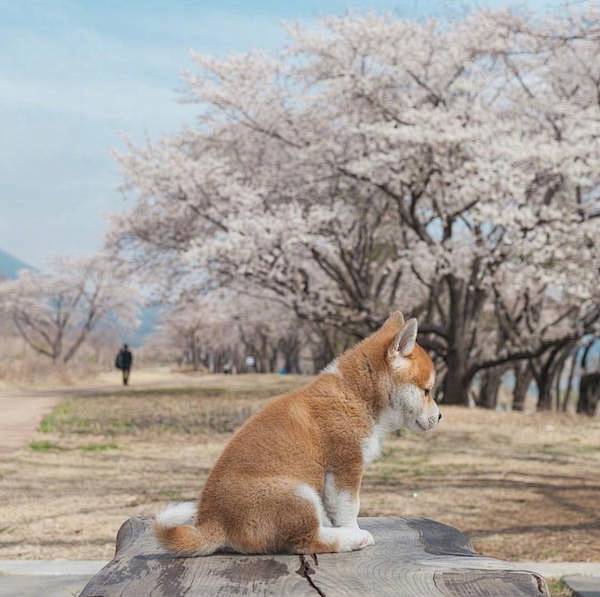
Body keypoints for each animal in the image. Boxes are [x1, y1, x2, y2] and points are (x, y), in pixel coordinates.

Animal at [155, 312, 440, 556]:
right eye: (427, 391)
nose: (440, 417)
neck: (355, 394)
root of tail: (213, 523)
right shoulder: (346, 467)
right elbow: (349, 509)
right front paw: (353, 529)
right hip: (297, 493)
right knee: (307, 541)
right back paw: (352, 538)